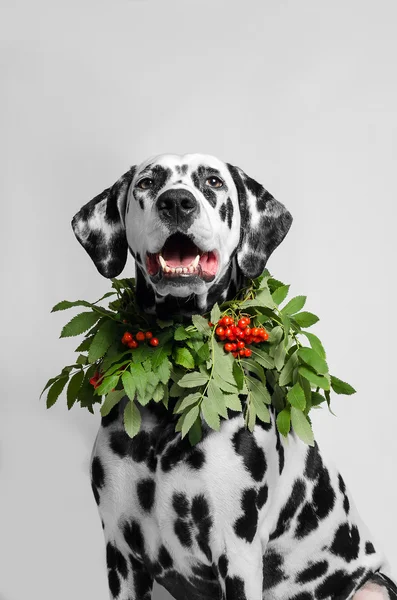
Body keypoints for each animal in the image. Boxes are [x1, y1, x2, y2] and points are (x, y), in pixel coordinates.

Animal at [72, 155, 394, 600]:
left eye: (213, 181)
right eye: (147, 182)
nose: (177, 202)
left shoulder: (237, 554)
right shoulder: (121, 554)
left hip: (372, 586)